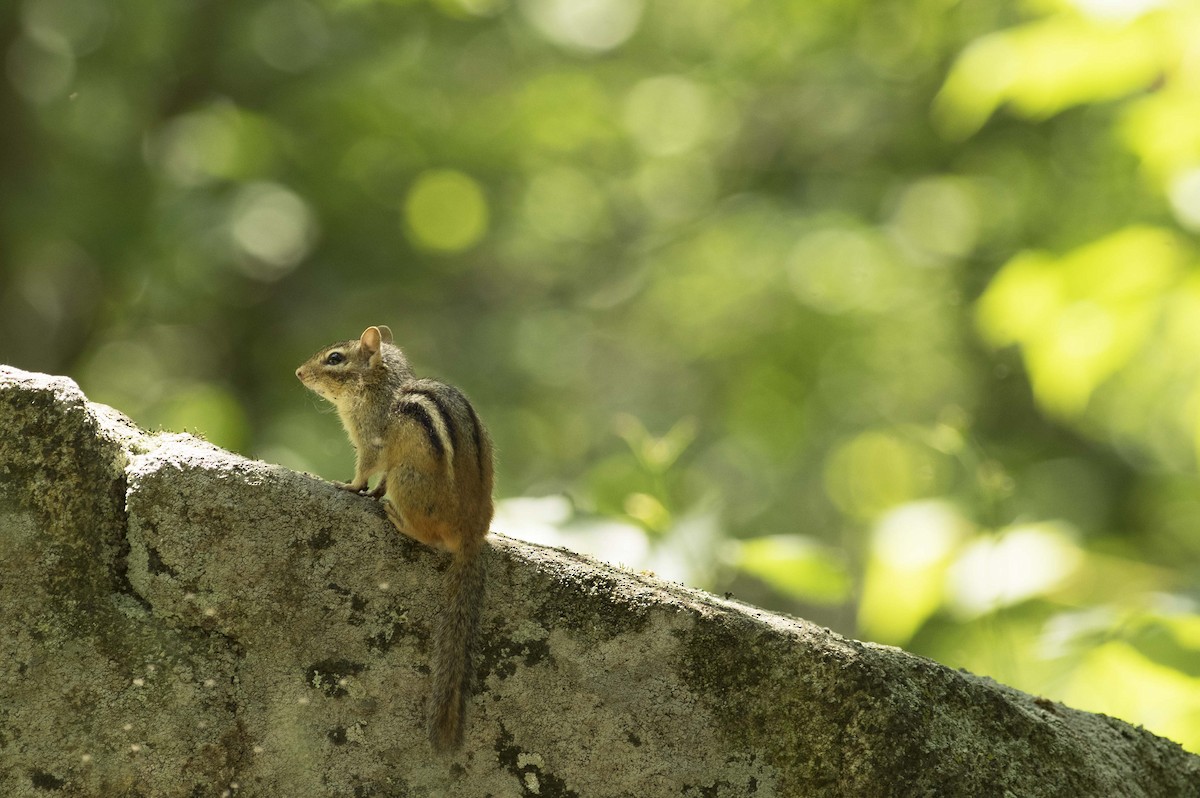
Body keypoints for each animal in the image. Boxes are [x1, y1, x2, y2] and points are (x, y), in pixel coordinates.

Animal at [295, 325, 494, 752]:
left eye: (334, 358)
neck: (380, 388)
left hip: (408, 479)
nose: (299, 373)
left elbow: (365, 468)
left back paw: (398, 520)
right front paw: (370, 494)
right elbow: (377, 480)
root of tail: (472, 533)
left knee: (429, 537)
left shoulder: (370, 441)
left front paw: (350, 487)